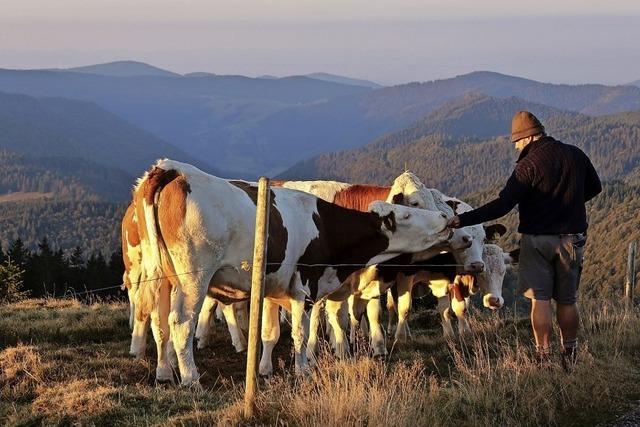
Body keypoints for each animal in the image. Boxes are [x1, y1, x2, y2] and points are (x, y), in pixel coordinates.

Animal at [132, 160, 452, 384]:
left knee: (159, 321)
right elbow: (304, 331)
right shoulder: (306, 287)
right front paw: (306, 369)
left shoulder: (277, 289)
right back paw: (190, 379)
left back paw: (164, 372)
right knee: (180, 323)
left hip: (161, 277)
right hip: (193, 278)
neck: (326, 225)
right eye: (409, 209)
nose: (447, 220)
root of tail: (173, 169)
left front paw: (265, 369)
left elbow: (271, 333)